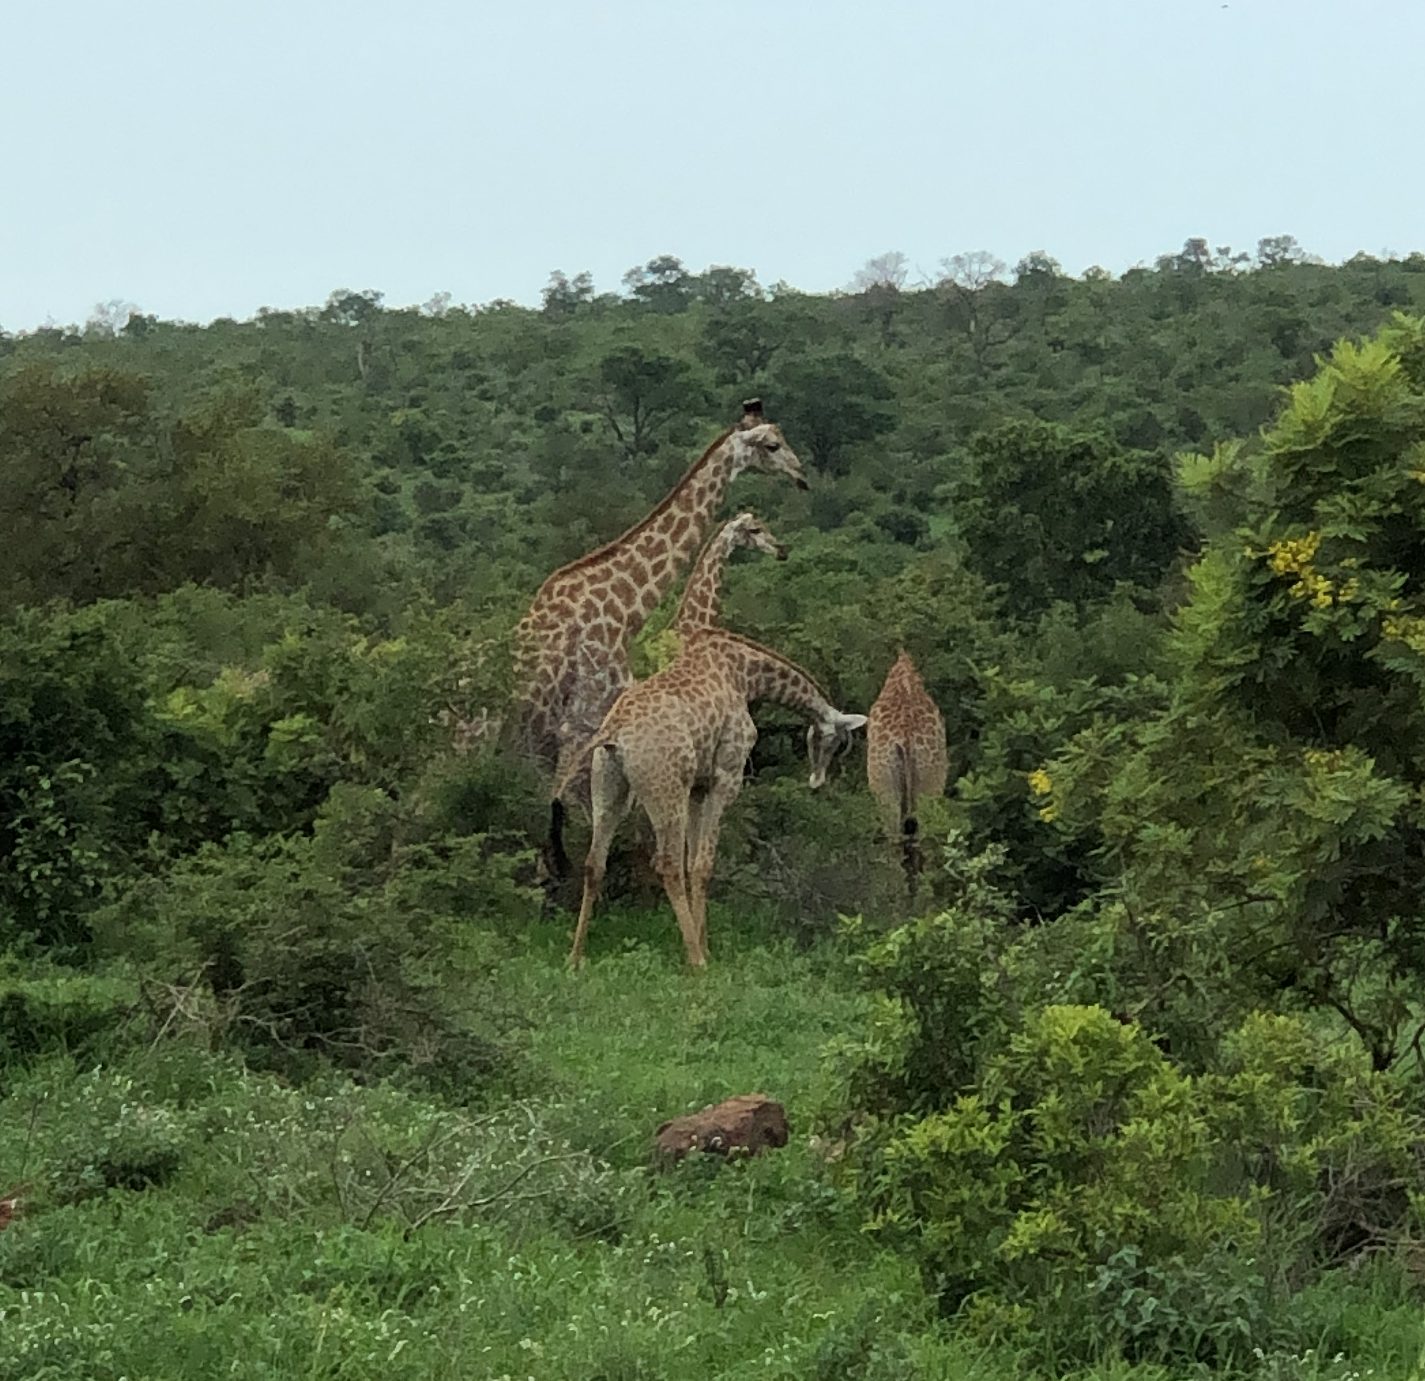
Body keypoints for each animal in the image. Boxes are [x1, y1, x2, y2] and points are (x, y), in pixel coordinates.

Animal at [558, 627, 866, 963]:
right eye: (836, 741)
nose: (816, 779)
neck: (746, 676)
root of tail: (613, 731)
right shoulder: (725, 777)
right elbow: (703, 865)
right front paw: (703, 950)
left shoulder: (698, 787)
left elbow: (694, 863)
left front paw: (704, 942)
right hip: (667, 790)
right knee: (667, 864)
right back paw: (697, 962)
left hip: (609, 790)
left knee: (594, 863)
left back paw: (575, 958)